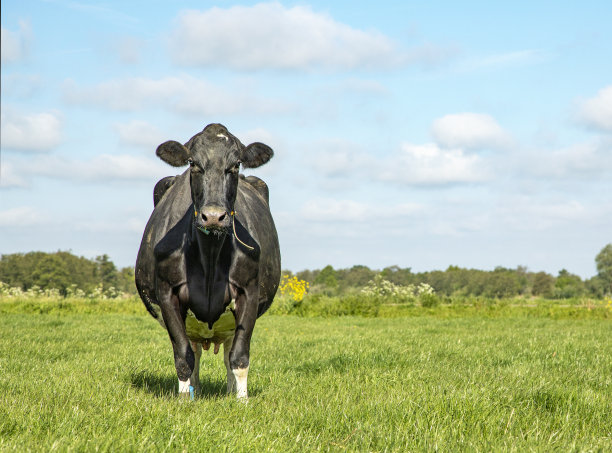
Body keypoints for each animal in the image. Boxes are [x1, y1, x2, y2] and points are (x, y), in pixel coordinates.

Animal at [135, 123, 280, 400]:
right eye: (193, 163)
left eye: (235, 165)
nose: (213, 216)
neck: (210, 256)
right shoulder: (167, 293)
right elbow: (184, 357)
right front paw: (183, 402)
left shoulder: (249, 292)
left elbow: (239, 358)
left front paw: (242, 401)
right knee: (195, 353)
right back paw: (195, 391)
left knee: (227, 353)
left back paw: (229, 392)